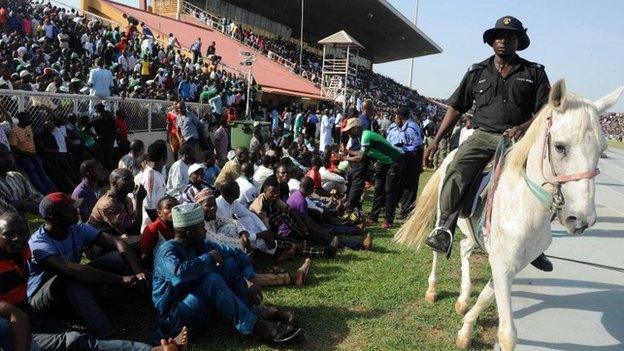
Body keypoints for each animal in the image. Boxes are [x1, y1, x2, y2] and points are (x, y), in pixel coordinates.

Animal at [394, 80, 624, 351]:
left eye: (602, 149)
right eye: (560, 146)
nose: (581, 219)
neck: (525, 206)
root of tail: (452, 153)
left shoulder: (508, 264)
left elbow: (485, 297)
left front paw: (465, 328)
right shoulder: (503, 265)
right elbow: (507, 334)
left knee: (463, 247)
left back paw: (463, 296)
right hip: (443, 214)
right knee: (438, 249)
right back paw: (432, 288)